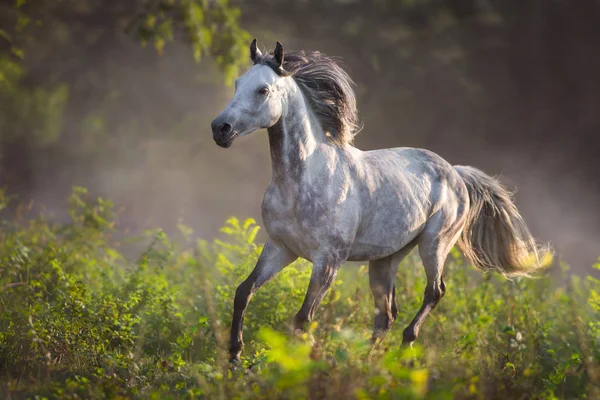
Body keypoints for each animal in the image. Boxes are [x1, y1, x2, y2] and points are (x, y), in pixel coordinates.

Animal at [211, 38, 552, 362]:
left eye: (263, 89)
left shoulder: (328, 261)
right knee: (386, 314)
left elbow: (303, 319)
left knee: (434, 292)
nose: (220, 129)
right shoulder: (281, 248)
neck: (305, 180)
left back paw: (404, 347)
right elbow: (244, 292)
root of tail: (456, 172)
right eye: (238, 83)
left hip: (435, 244)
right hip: (386, 259)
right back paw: (366, 363)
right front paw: (235, 357)